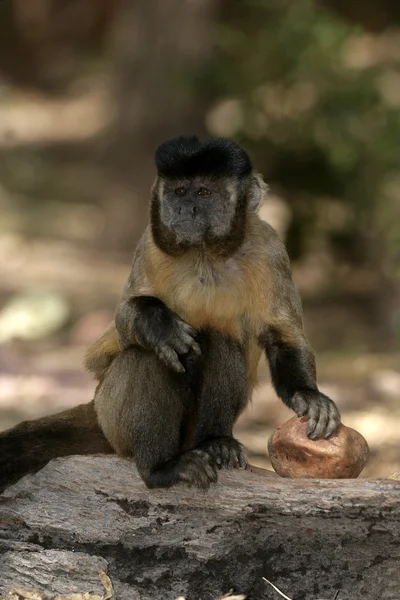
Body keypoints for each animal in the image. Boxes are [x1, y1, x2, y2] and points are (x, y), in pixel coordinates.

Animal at [0, 136, 340, 492]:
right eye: (179, 191)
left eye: (203, 192)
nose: (186, 208)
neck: (204, 254)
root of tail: (95, 407)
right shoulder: (149, 245)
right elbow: (126, 319)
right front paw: (157, 324)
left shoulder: (270, 248)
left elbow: (282, 336)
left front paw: (308, 395)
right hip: (112, 416)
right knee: (149, 355)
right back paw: (160, 467)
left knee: (221, 340)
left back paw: (214, 442)